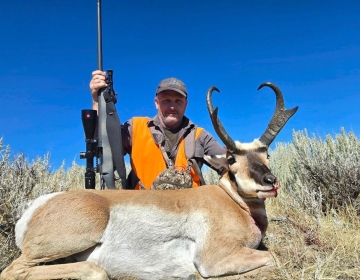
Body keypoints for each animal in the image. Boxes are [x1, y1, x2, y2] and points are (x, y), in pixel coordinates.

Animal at [1, 82, 296, 278]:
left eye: (266, 153)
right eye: (232, 159)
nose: (270, 181)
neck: (230, 200)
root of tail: (36, 205)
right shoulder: (214, 258)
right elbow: (273, 256)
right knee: (15, 270)